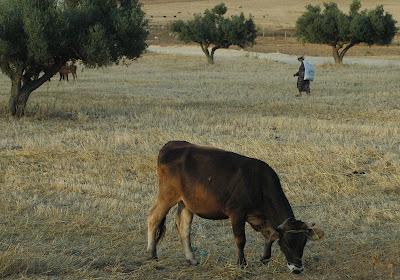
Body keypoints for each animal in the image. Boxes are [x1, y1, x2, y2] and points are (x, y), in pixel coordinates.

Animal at [147, 141, 324, 272]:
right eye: (286, 243)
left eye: (303, 243)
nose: (297, 269)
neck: (258, 182)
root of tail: (172, 145)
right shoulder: (237, 213)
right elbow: (240, 239)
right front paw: (242, 264)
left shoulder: (258, 217)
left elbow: (271, 235)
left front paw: (264, 258)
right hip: (167, 195)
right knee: (153, 217)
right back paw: (151, 254)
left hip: (186, 202)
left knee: (183, 227)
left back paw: (191, 259)